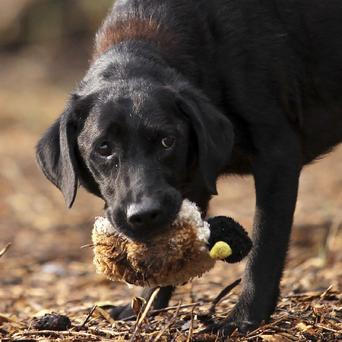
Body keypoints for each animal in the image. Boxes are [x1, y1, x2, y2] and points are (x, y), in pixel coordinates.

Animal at [36, 0, 342, 336]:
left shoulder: (278, 157)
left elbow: (263, 250)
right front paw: (142, 308)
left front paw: (243, 319)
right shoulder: (193, 182)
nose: (145, 215)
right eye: (103, 148)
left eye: (167, 141)